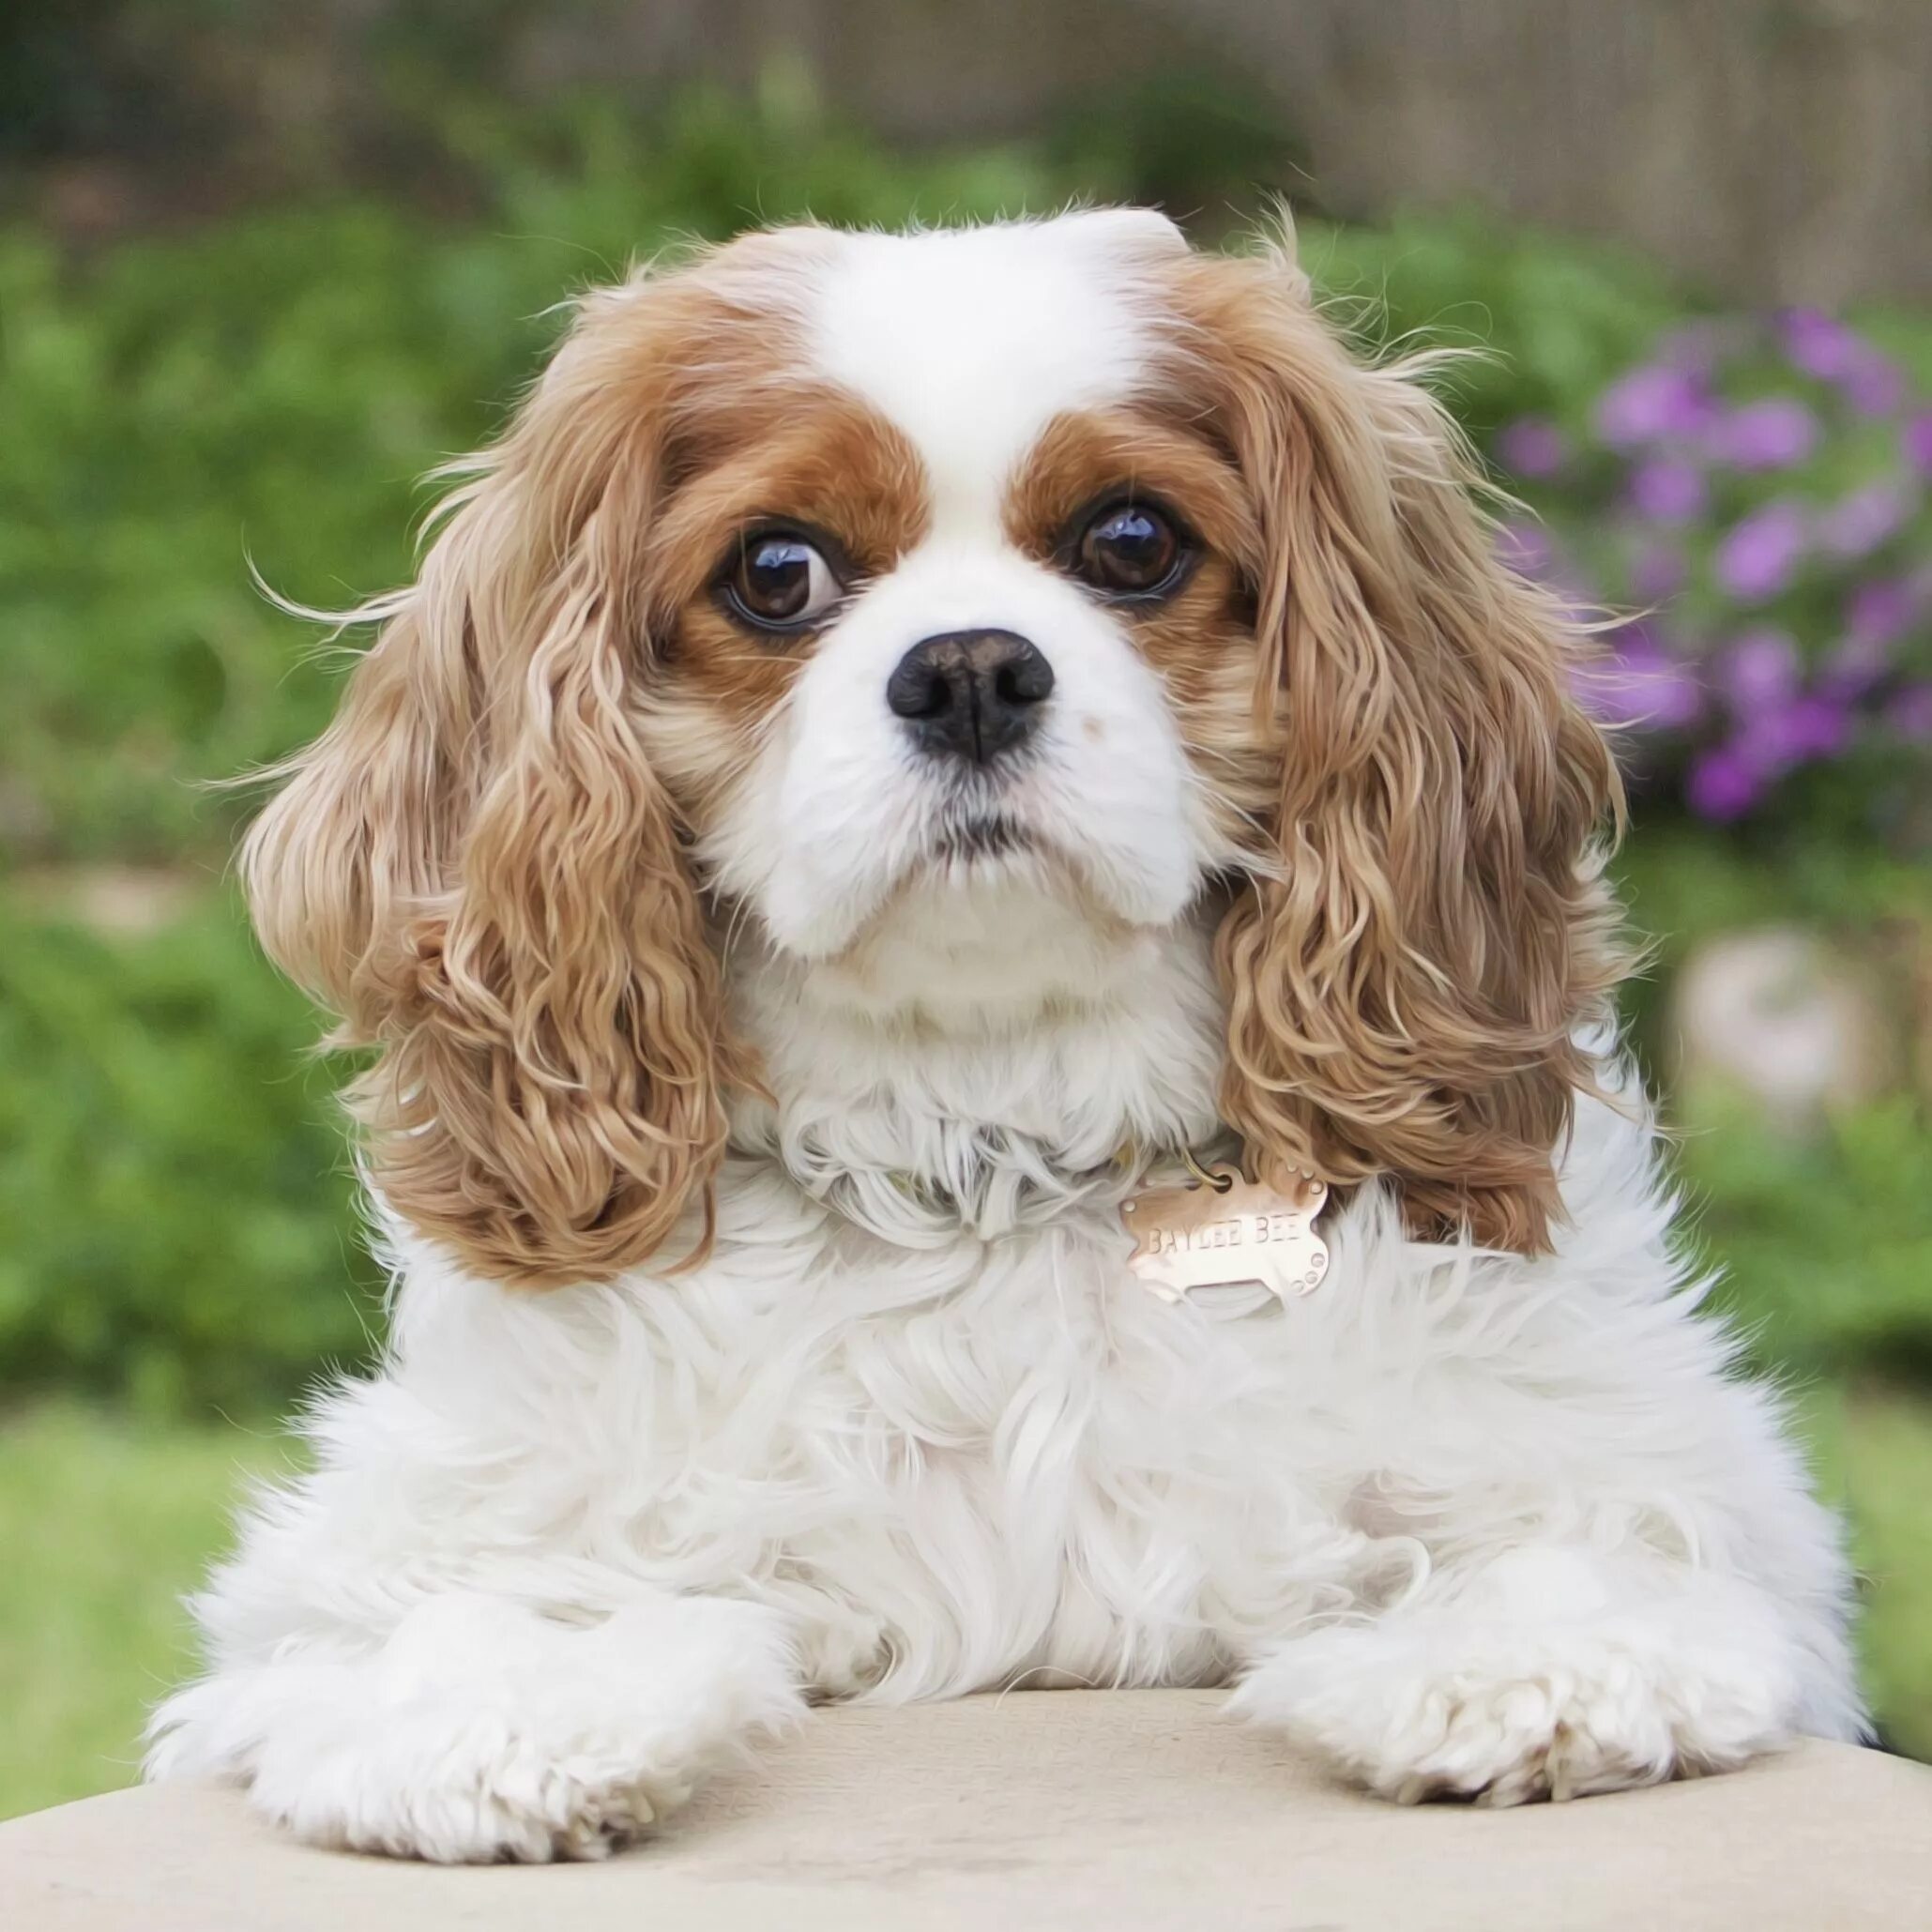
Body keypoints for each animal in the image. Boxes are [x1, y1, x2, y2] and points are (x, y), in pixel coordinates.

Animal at [150, 207, 1870, 1854]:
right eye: (773, 571)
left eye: (1130, 540)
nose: (969, 669)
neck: (988, 1149)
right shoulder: (375, 1551)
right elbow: (453, 1605)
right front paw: (502, 1711)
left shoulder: (1665, 1474)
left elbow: (1587, 1534)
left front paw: (1521, 1659)